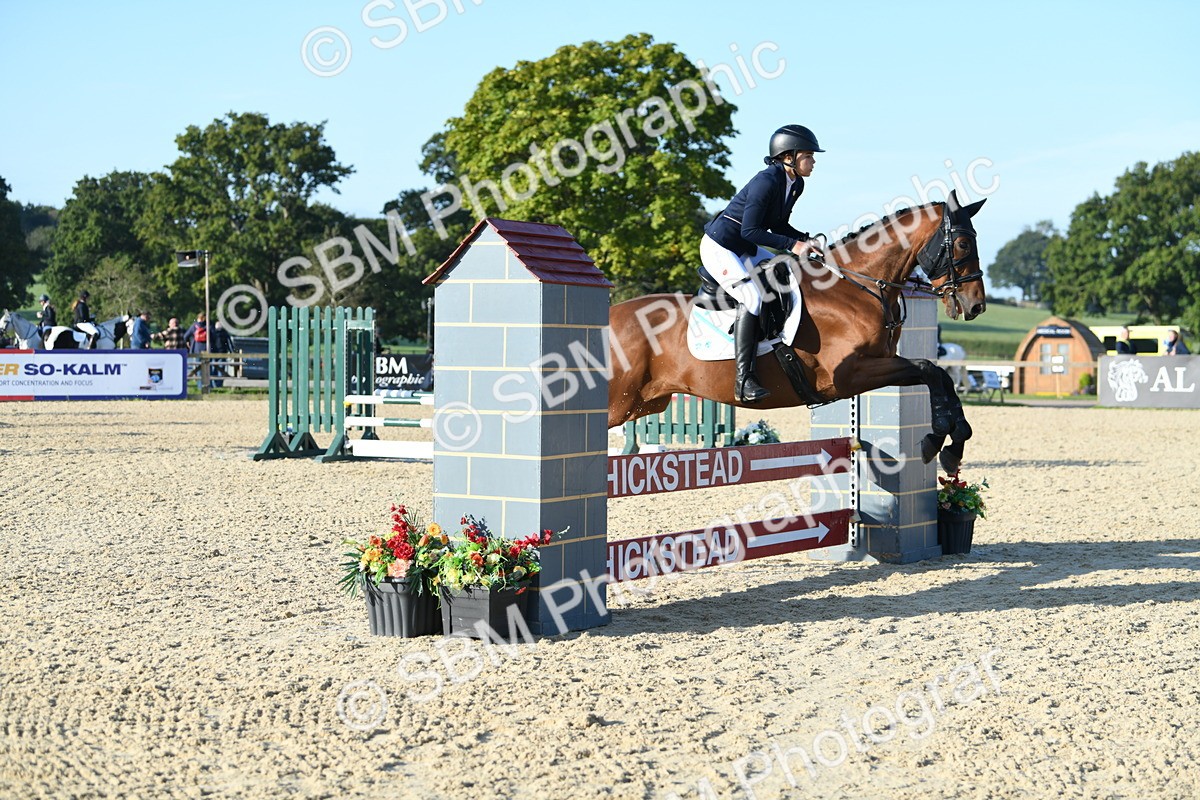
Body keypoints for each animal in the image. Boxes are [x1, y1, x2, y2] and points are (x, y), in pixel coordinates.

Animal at [607, 190, 988, 474]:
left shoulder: (880, 363)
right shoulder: (848, 374)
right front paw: (938, 438)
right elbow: (929, 369)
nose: (976, 306)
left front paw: (951, 443)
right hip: (618, 403)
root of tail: (611, 315)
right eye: (963, 244)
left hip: (644, 403)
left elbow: (937, 373)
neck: (856, 289)